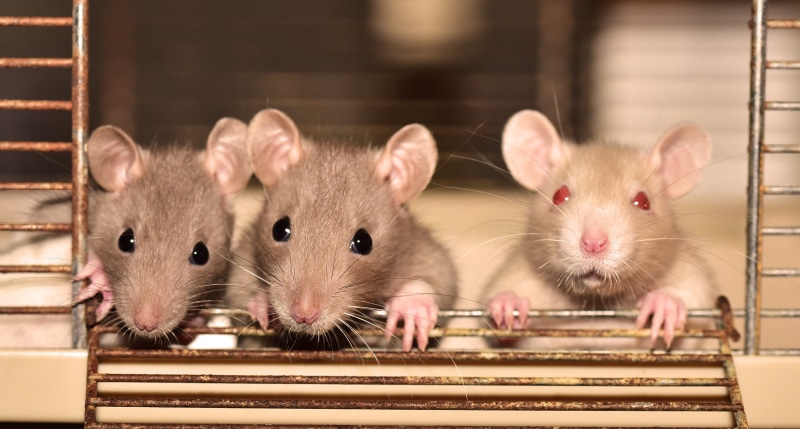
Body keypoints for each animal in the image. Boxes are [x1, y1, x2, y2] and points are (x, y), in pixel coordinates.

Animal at [226, 108, 457, 352]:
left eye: (364, 242)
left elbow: (442, 274)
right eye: (279, 229)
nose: (303, 314)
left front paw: (412, 305)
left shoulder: (419, 247)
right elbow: (235, 288)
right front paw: (262, 302)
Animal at [481, 109, 719, 350]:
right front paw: (508, 303)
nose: (593, 243)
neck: (596, 302)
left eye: (643, 201)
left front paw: (663, 304)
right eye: (559, 195)